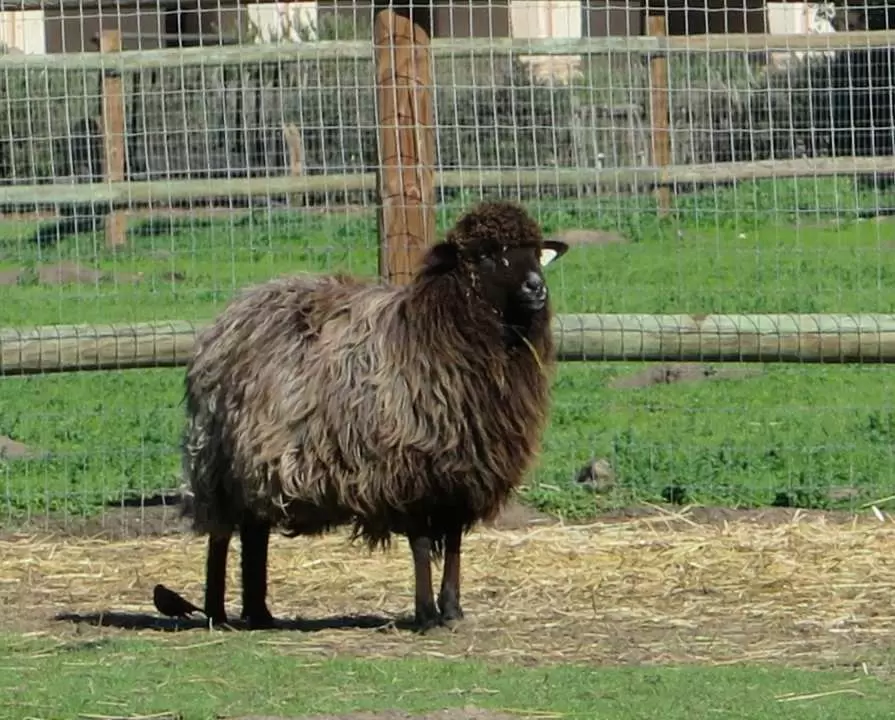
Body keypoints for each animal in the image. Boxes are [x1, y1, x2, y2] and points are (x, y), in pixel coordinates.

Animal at [171, 200, 569, 632]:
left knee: (254, 532)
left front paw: (452, 611)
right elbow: (422, 544)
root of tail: (227, 318)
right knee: (223, 535)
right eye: (486, 254)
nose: (537, 288)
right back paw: (217, 612)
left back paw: (259, 613)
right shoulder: (409, 470)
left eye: (535, 251)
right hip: (219, 460)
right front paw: (426, 615)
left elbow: (455, 545)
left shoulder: (459, 473)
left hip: (256, 461)